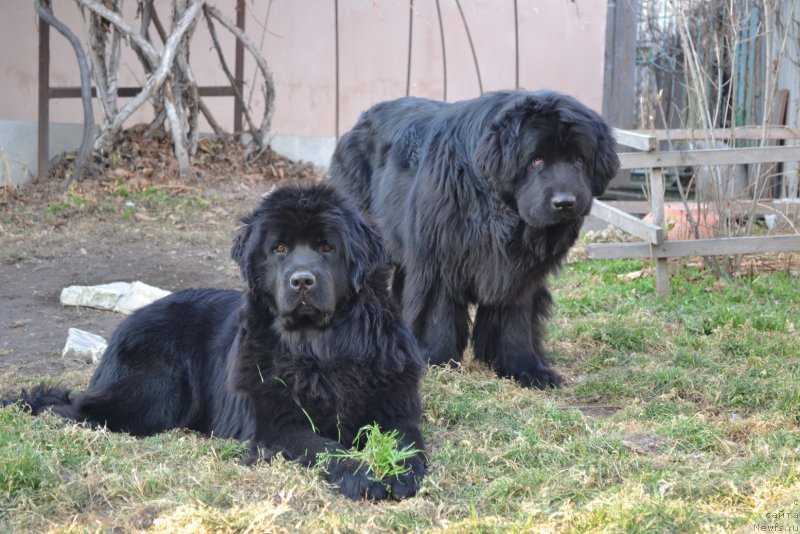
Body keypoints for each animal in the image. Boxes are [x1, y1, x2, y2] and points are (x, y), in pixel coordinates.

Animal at [6, 184, 428, 502]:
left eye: (328, 248)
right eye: (279, 249)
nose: (302, 281)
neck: (318, 349)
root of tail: (132, 319)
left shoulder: (397, 410)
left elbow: (407, 443)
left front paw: (400, 474)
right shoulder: (274, 425)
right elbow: (323, 447)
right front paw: (364, 475)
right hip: (155, 389)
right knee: (74, 407)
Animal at [328, 89, 620, 390]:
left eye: (579, 159)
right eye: (536, 160)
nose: (565, 202)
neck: (498, 215)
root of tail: (360, 120)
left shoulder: (518, 273)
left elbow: (516, 321)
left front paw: (526, 369)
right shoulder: (440, 258)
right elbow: (438, 316)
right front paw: (436, 362)